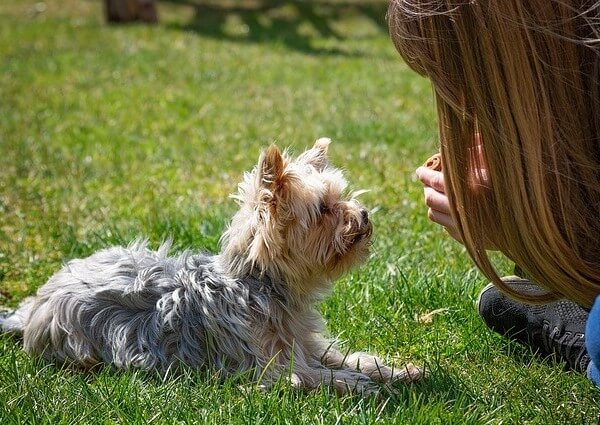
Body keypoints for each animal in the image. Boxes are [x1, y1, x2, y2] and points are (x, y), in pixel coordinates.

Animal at [1, 139, 422, 394]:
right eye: (323, 209)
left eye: (342, 196)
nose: (364, 215)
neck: (260, 285)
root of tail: (34, 306)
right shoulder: (270, 369)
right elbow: (315, 375)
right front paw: (363, 384)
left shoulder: (305, 344)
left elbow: (345, 357)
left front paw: (397, 371)